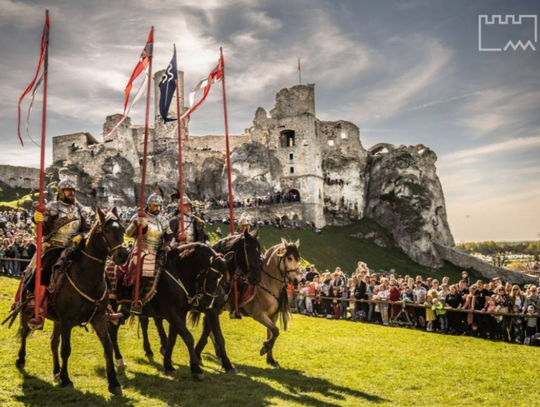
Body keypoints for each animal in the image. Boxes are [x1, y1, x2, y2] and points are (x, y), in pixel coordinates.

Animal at [15, 207, 130, 396]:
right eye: (106, 230)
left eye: (122, 229)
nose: (123, 255)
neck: (87, 277)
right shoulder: (67, 321)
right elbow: (66, 349)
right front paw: (66, 379)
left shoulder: (98, 318)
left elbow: (108, 347)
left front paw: (114, 383)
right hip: (28, 311)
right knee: (25, 332)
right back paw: (21, 359)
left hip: (56, 320)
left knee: (53, 341)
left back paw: (56, 371)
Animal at [107, 242, 228, 380]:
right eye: (213, 277)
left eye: (222, 278)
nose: (211, 302)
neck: (179, 273)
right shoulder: (171, 314)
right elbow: (188, 337)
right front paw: (196, 369)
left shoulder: (180, 314)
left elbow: (172, 338)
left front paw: (168, 365)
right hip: (112, 304)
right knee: (112, 328)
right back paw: (119, 358)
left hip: (125, 309)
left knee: (114, 327)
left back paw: (120, 359)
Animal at [195, 237, 304, 368]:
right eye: (289, 258)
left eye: (298, 258)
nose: (296, 280)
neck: (267, 282)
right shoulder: (259, 315)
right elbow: (276, 331)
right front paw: (265, 348)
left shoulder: (273, 316)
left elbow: (272, 333)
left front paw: (270, 359)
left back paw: (217, 351)